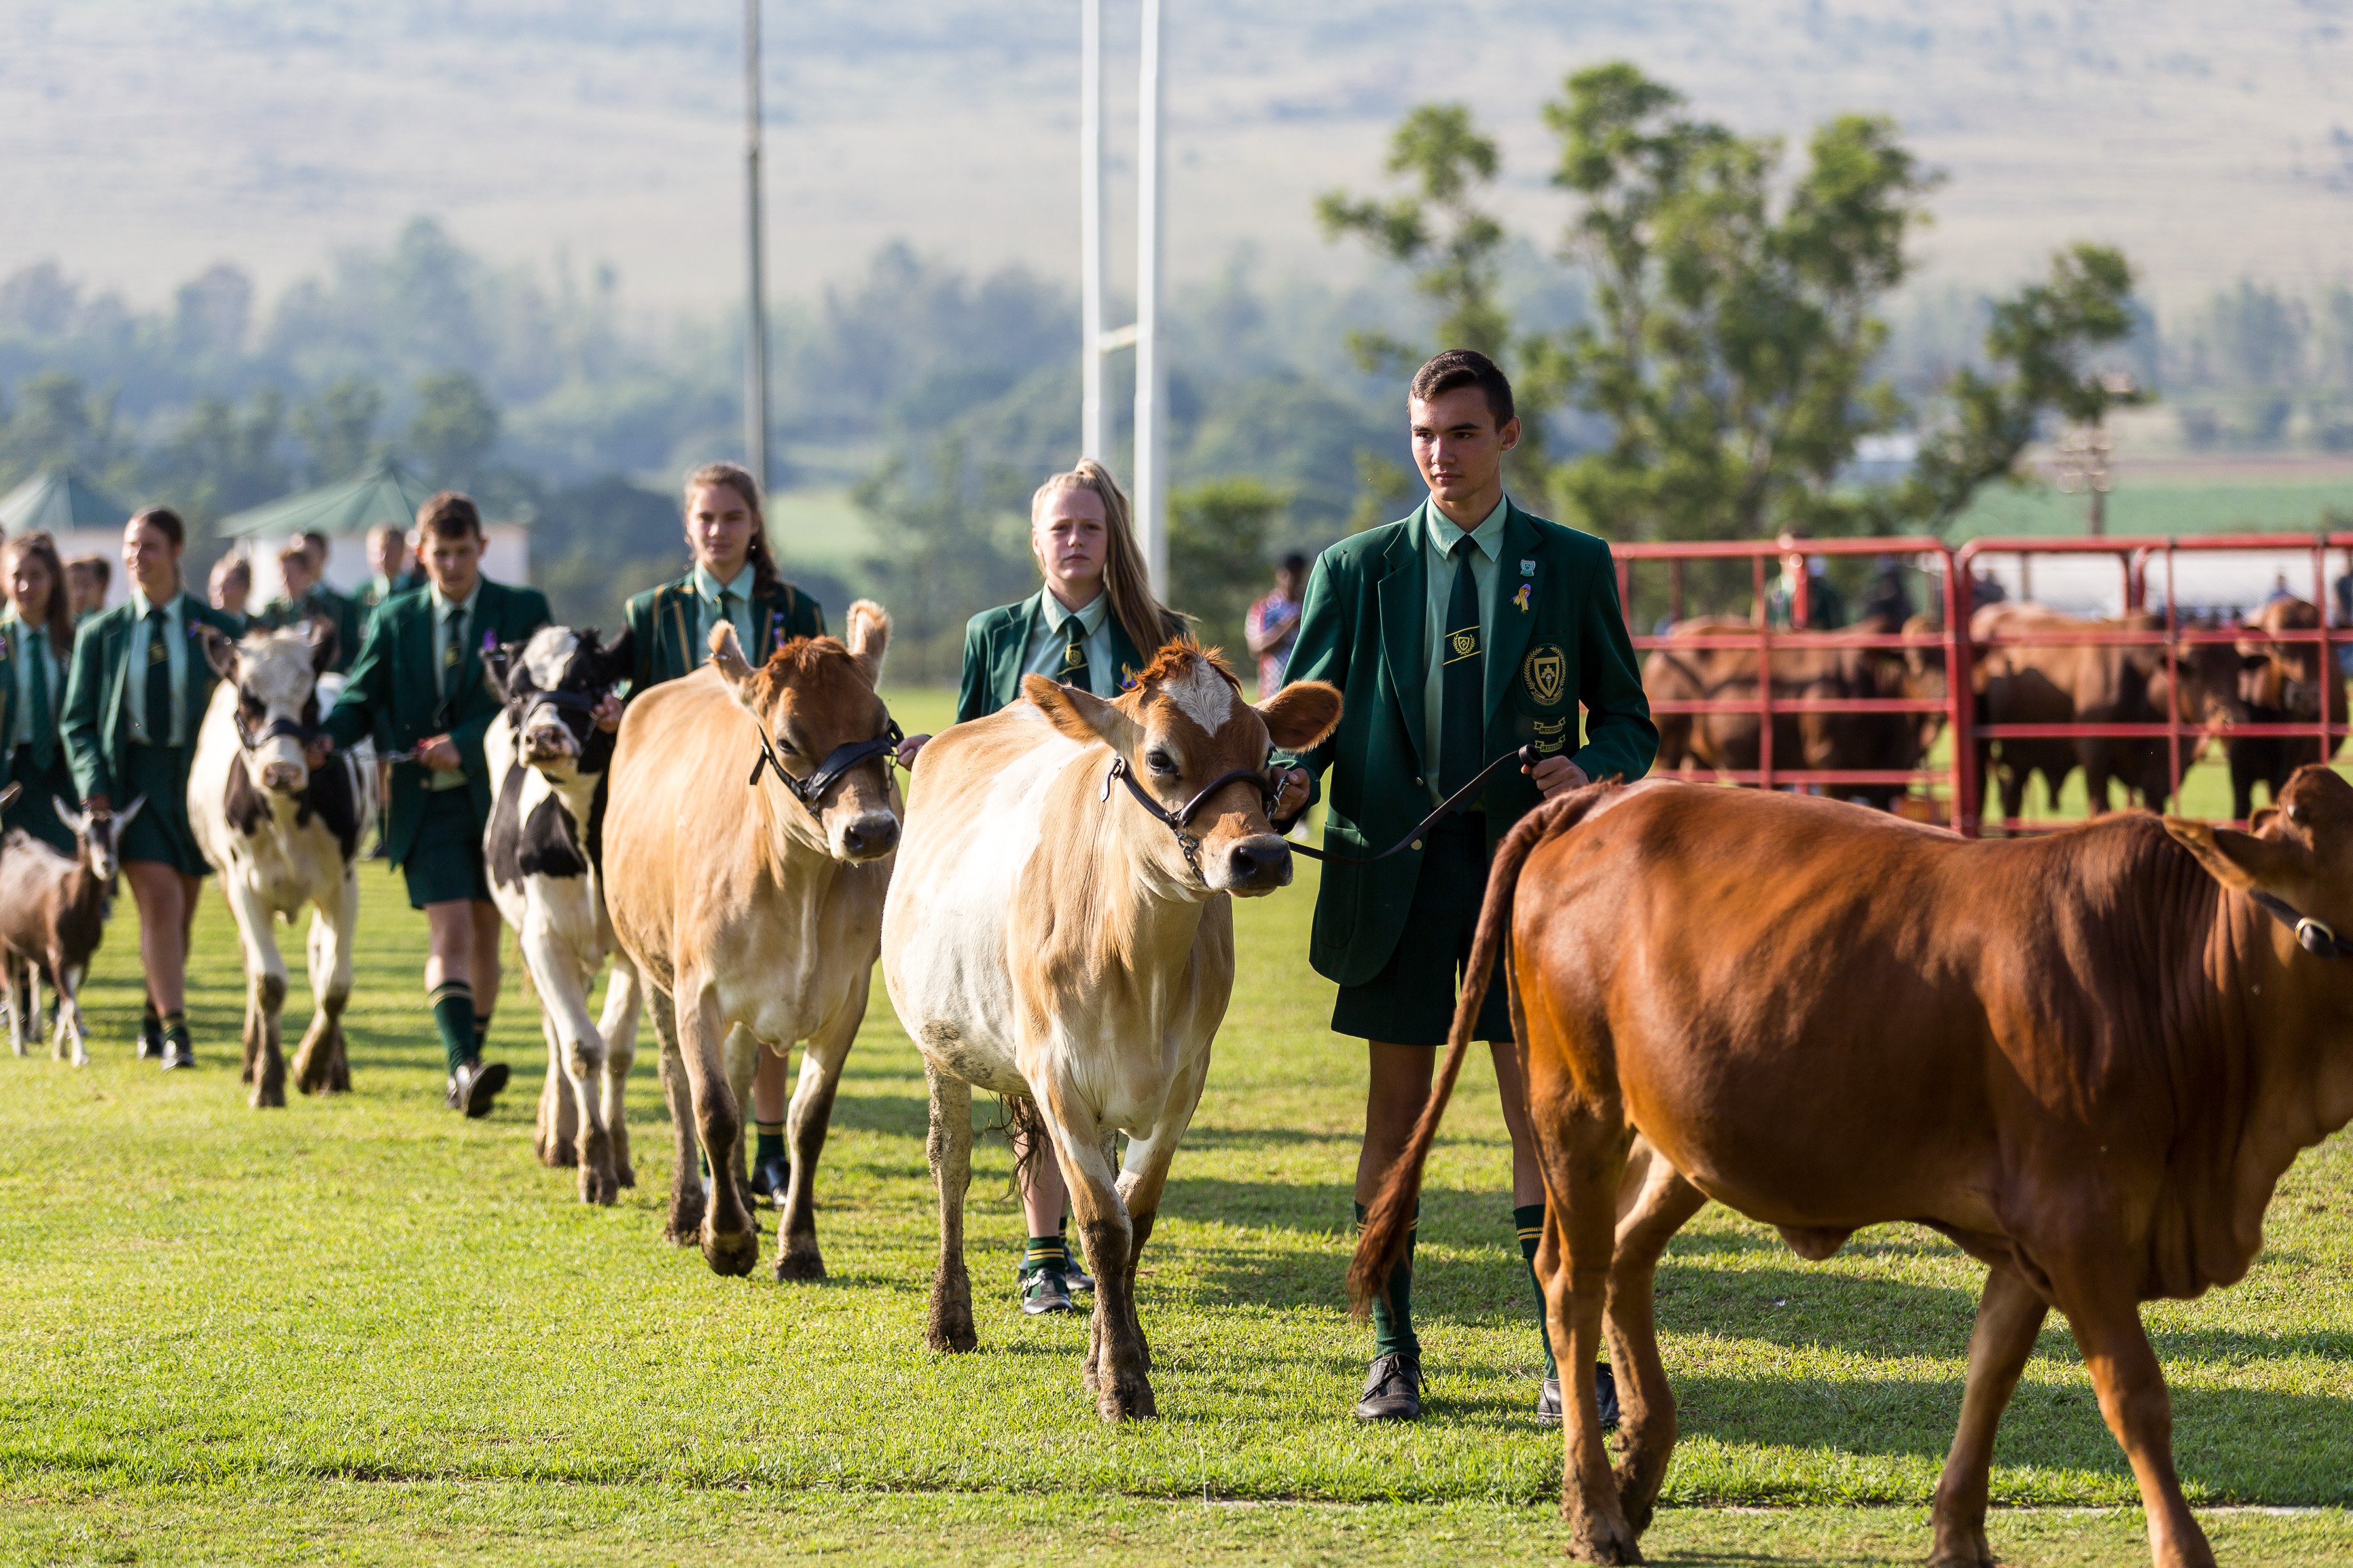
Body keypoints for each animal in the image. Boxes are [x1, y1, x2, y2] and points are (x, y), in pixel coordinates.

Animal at [189, 620, 376, 1109]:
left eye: (310, 703)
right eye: (246, 701)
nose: (282, 772)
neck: (287, 815)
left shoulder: (343, 885)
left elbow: (335, 984)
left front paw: (312, 1064)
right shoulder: (243, 886)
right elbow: (268, 982)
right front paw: (268, 1080)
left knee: (320, 955)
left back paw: (334, 1069)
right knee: (251, 962)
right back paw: (250, 1059)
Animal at [482, 620, 640, 1203]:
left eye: (589, 680)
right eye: (518, 694)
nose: (542, 736)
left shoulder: (633, 950)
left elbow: (616, 1049)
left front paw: (618, 1156)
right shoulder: (543, 939)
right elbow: (580, 1047)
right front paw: (593, 1163)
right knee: (555, 1033)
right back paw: (558, 1135)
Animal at [597, 606, 899, 1279]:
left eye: (882, 727)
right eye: (787, 741)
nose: (871, 830)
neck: (799, 883)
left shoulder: (849, 997)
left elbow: (806, 1120)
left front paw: (799, 1245)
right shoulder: (696, 989)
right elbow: (710, 1107)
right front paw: (727, 1238)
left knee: (738, 1074)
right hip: (650, 965)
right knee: (678, 1082)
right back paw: (689, 1209)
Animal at [880, 644, 1346, 1429]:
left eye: (1264, 754)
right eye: (1159, 757)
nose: (1260, 855)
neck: (1138, 958)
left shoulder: (1184, 1082)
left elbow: (1136, 1217)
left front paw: (1111, 1353)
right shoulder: (1056, 1076)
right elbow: (1102, 1224)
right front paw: (1122, 1383)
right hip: (939, 1044)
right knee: (951, 1166)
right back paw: (950, 1319)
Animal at [1355, 776, 2353, 1568]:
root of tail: (1602, 796)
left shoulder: (2027, 1239)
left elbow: (1991, 1368)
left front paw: (1958, 1532)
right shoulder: (2077, 1230)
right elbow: (2134, 1394)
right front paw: (2181, 1547)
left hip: (1682, 1136)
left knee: (1627, 1261)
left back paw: (1639, 1468)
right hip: (1575, 1109)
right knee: (1573, 1282)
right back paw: (1599, 1509)